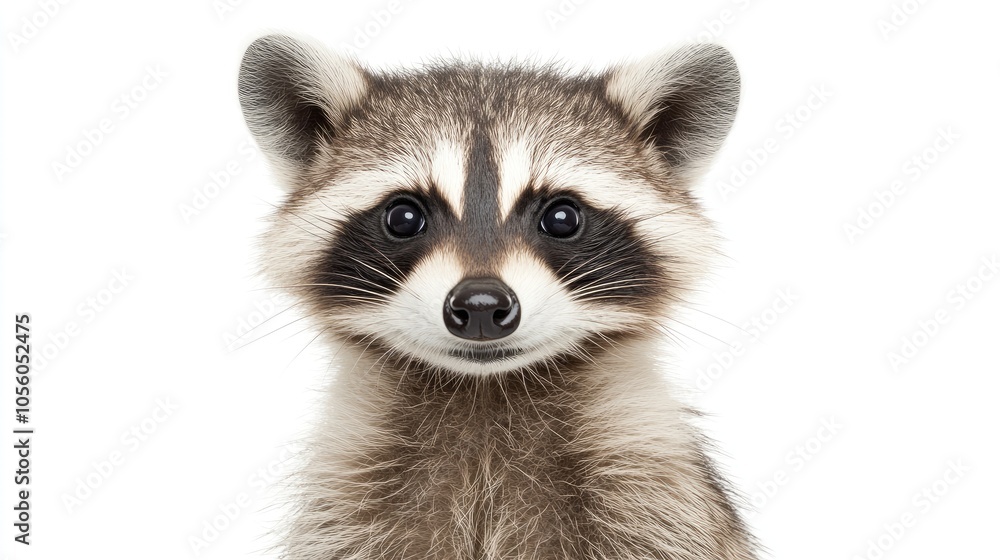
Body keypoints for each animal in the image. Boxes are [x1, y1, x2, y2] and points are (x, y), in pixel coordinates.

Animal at [238, 34, 755, 560]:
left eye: (562, 218)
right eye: (403, 217)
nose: (481, 304)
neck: (486, 393)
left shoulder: (653, 495)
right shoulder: (350, 498)